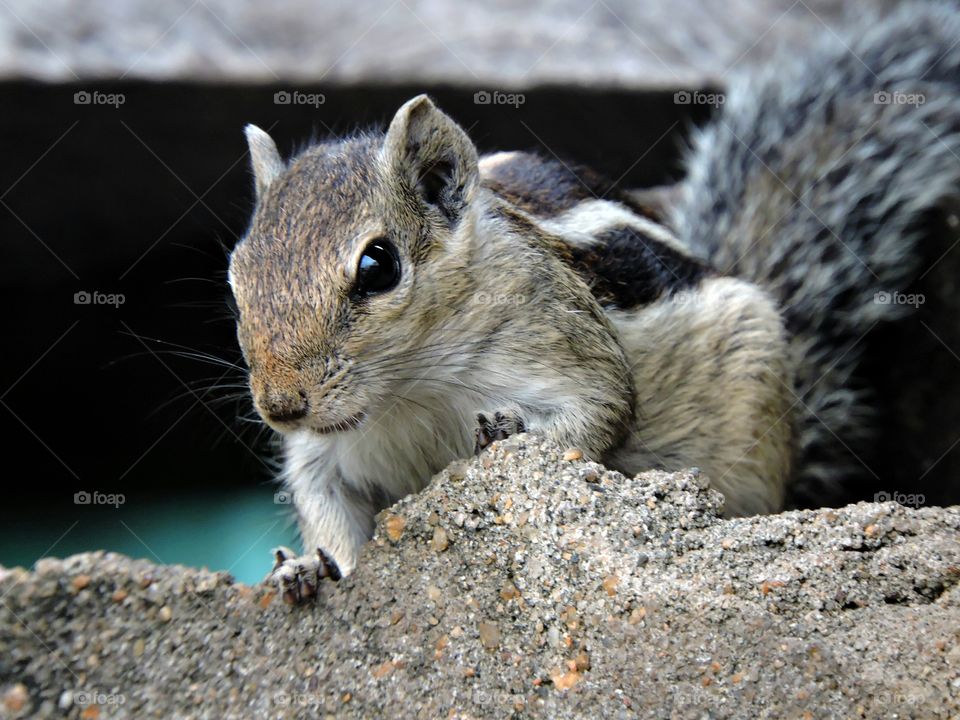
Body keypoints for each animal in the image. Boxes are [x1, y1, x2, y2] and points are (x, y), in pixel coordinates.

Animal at [228, 2, 960, 603]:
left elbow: (598, 414)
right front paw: (306, 567)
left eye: (378, 266)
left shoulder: (560, 341)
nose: (282, 406)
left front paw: (508, 432)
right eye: (235, 276)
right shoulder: (323, 458)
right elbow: (329, 511)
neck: (404, 392)